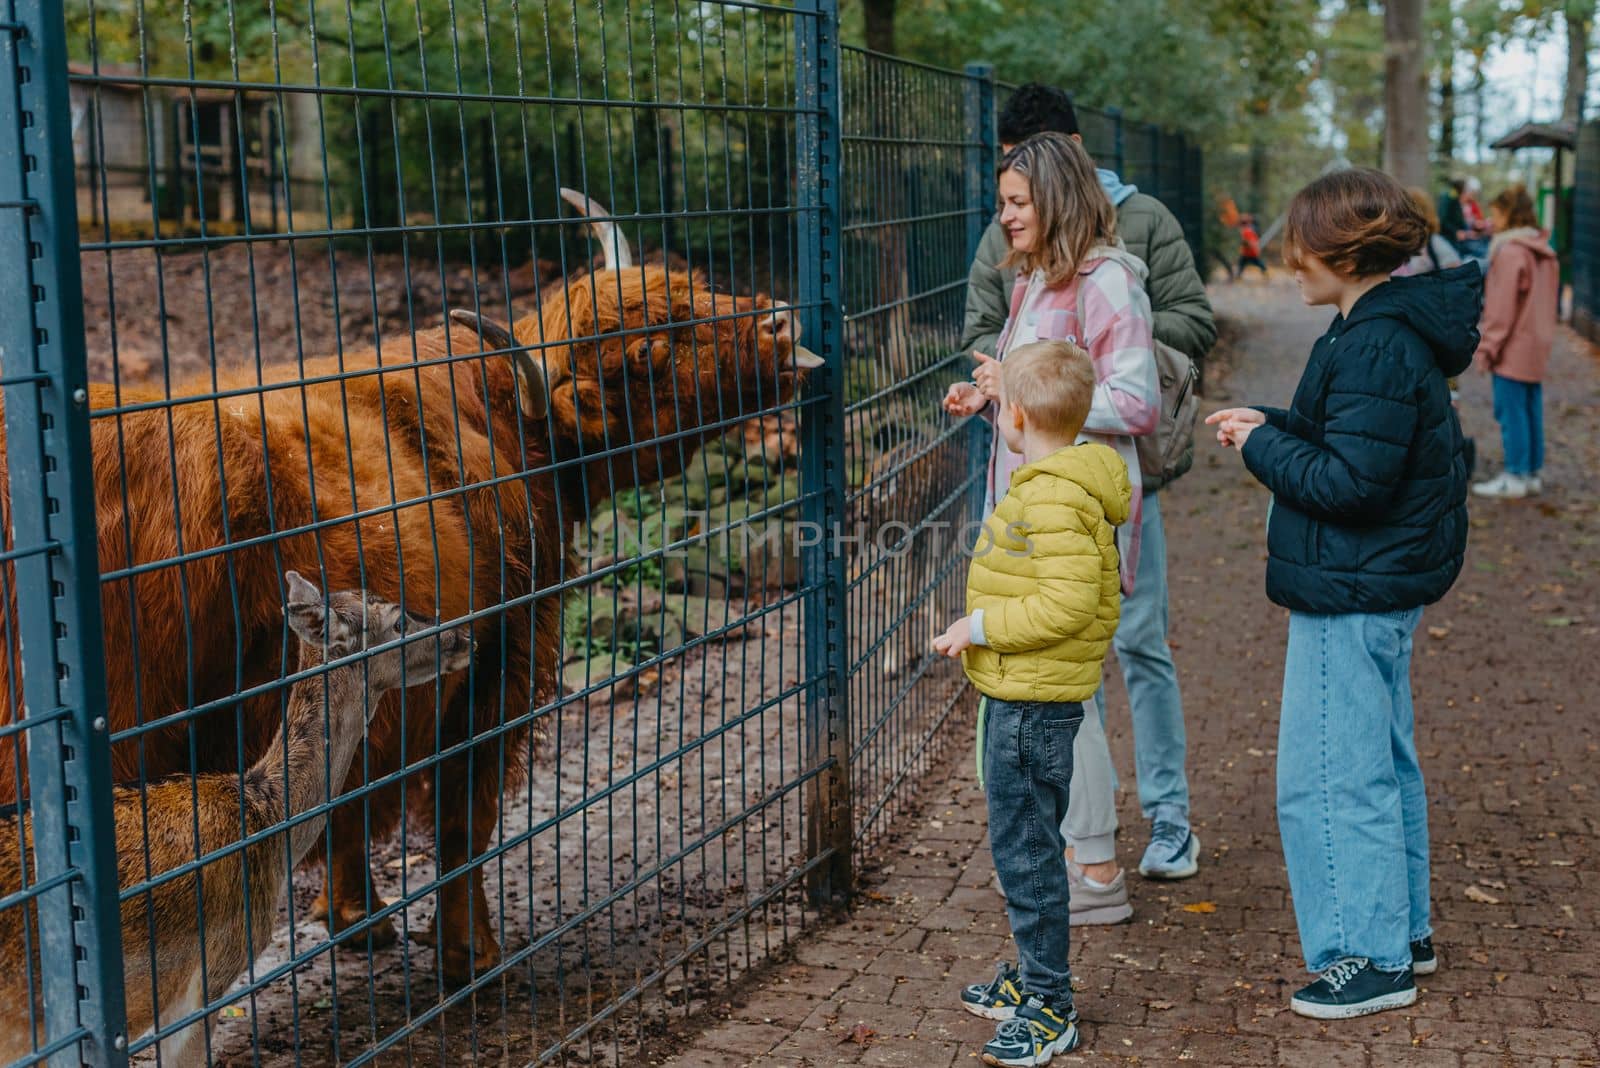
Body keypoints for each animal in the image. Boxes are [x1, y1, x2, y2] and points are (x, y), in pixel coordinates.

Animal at [0, 194, 825, 984]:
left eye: (691, 288)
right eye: (650, 352)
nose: (780, 323)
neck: (512, 428)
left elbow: (351, 808)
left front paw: (356, 920)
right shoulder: (500, 665)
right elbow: (465, 818)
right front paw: (472, 955)